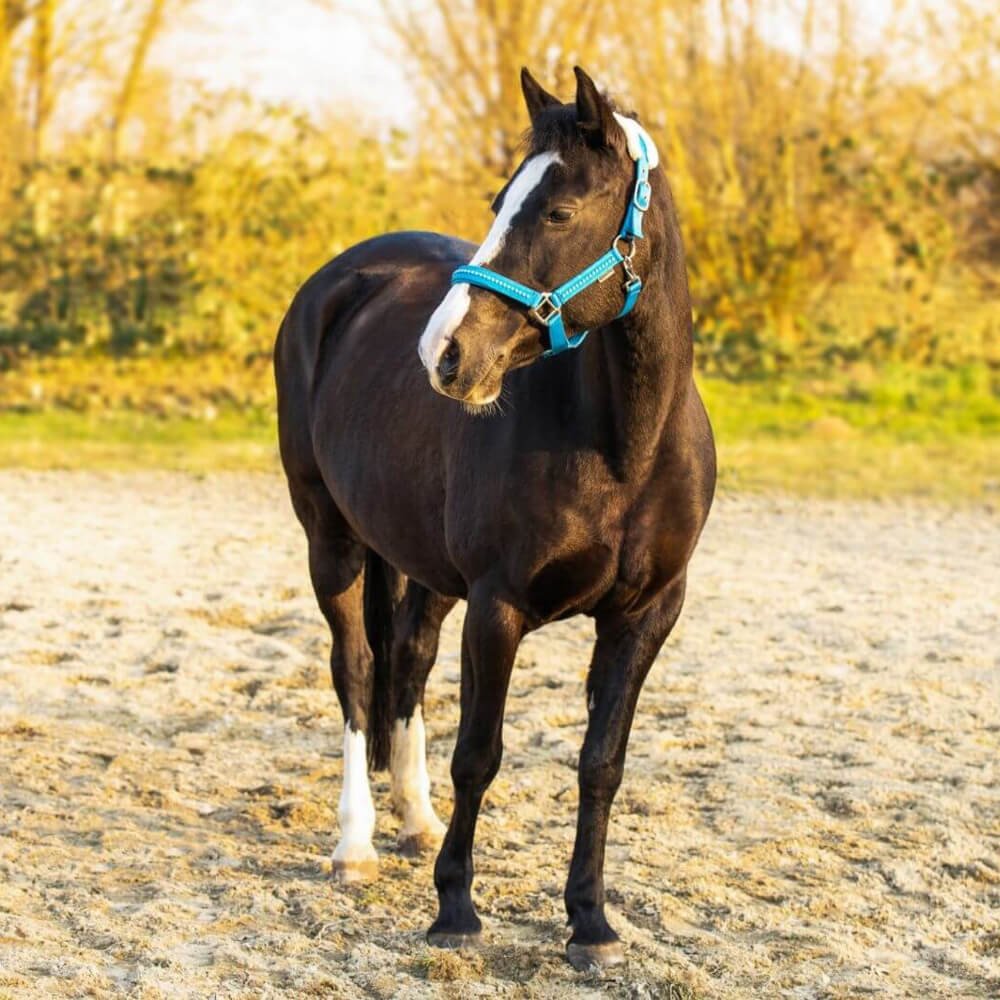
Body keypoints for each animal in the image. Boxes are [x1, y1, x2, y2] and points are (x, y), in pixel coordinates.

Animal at [274, 66, 716, 970]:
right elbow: (479, 754)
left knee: (407, 659)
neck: (625, 444)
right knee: (357, 669)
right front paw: (456, 910)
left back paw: (414, 820)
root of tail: (340, 280)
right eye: (496, 201)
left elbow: (601, 764)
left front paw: (590, 921)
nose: (445, 354)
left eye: (559, 212)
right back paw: (356, 845)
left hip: (421, 563)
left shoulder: (646, 615)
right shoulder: (498, 605)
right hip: (330, 540)